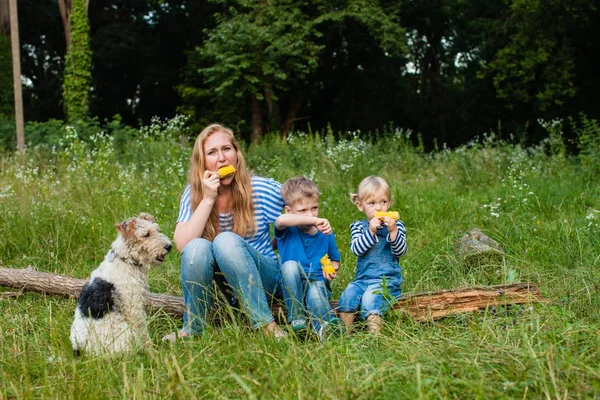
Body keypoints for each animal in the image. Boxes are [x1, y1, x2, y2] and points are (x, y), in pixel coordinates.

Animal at [72, 212, 173, 356]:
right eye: (146, 234)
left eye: (158, 230)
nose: (169, 246)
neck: (125, 260)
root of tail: (80, 351)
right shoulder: (134, 307)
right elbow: (144, 333)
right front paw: (152, 353)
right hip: (122, 330)